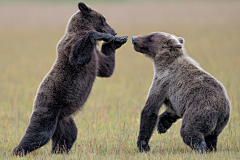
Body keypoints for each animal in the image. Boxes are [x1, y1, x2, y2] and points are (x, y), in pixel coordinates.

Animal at [12, 1, 127, 156]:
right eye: (103, 19)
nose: (114, 32)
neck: (81, 29)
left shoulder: (95, 56)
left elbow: (106, 68)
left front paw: (118, 41)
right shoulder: (72, 46)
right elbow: (77, 56)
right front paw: (102, 35)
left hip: (63, 118)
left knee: (68, 134)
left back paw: (58, 151)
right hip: (49, 105)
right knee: (40, 133)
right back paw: (17, 151)